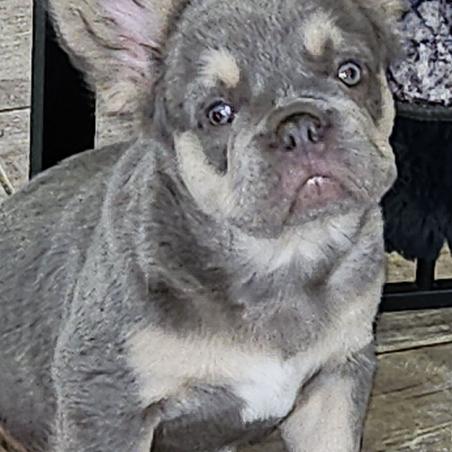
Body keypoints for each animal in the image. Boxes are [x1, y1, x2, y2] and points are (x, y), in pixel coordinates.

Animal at [0, 0, 402, 450]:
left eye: (350, 72)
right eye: (218, 114)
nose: (299, 125)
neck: (280, 259)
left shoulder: (334, 383)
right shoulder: (108, 404)